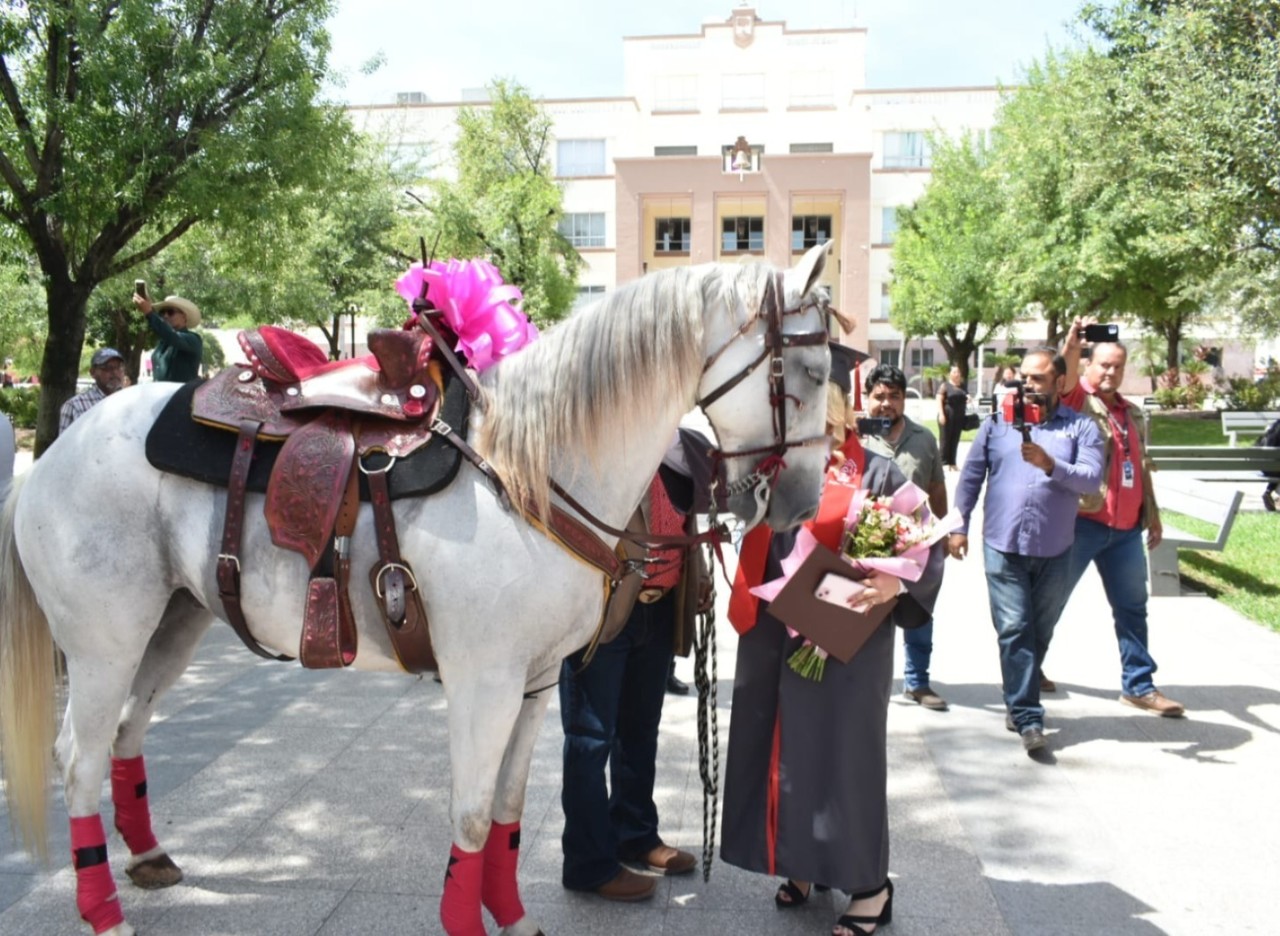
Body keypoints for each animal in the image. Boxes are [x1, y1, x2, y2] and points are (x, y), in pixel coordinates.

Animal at [0, 243, 834, 936]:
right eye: (814, 373)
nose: (800, 503)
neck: (529, 468)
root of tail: (51, 457)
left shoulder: (534, 685)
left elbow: (506, 813)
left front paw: (512, 917)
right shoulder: (483, 683)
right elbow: (470, 818)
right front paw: (467, 921)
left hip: (174, 623)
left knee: (127, 731)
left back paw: (147, 859)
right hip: (104, 642)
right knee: (77, 757)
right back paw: (103, 912)